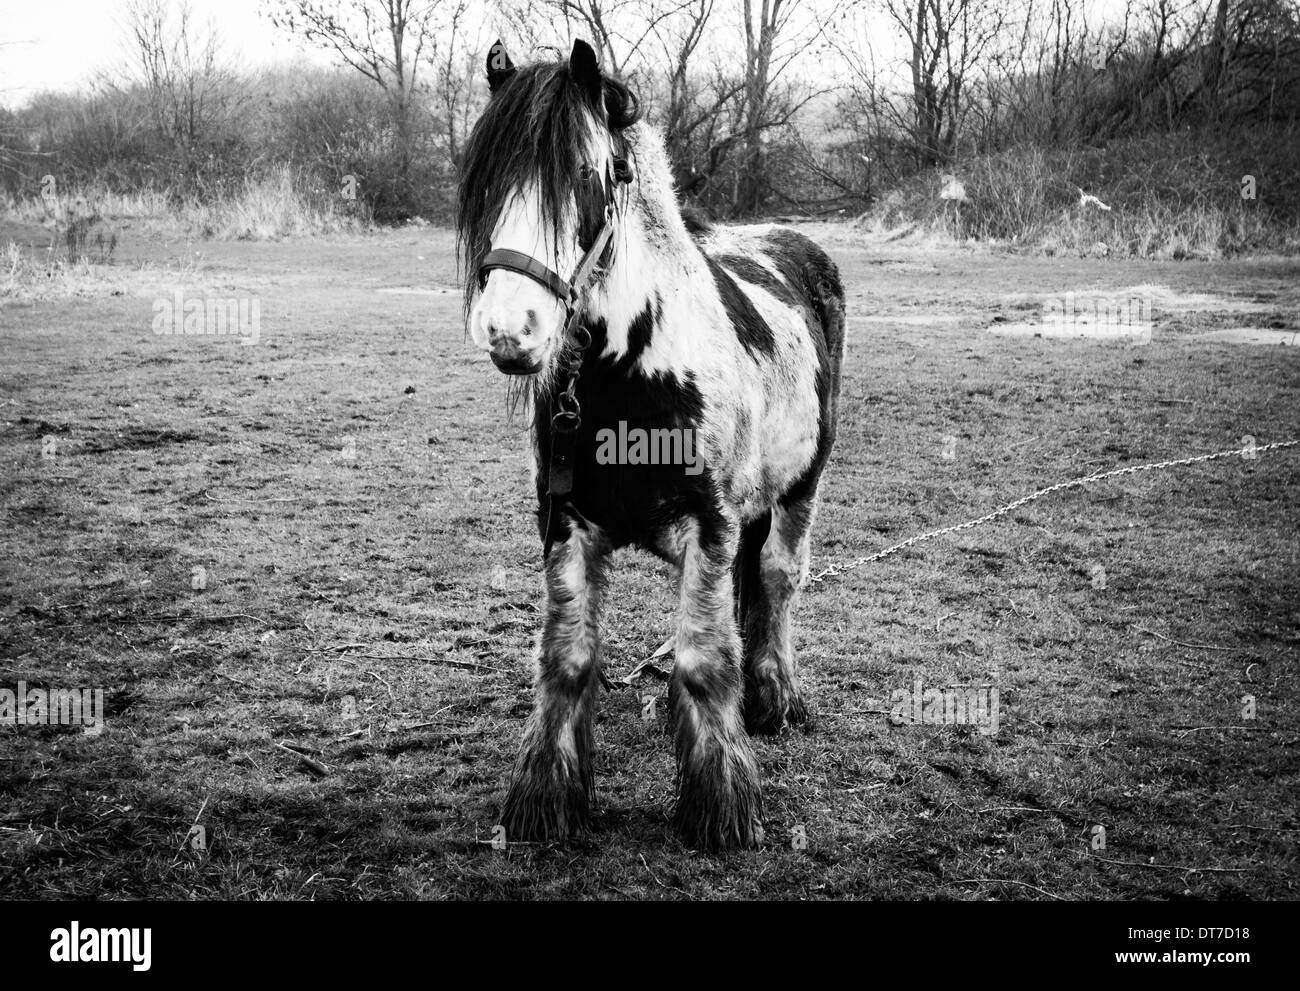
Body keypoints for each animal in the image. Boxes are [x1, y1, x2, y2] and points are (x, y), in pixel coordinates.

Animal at [462, 36, 847, 842]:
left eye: (587, 176)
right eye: (485, 179)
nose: (510, 328)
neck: (631, 367)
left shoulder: (711, 526)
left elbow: (704, 659)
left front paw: (721, 806)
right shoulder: (567, 526)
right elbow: (568, 658)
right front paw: (546, 801)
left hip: (801, 486)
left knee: (777, 578)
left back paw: (773, 700)